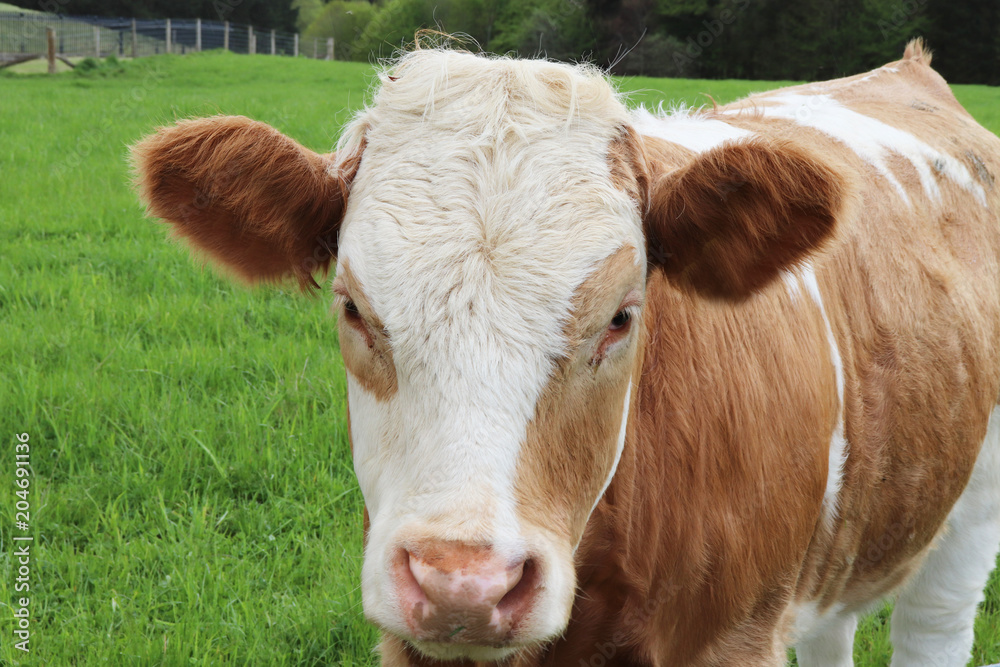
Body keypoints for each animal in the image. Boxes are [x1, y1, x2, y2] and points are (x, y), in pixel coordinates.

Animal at [133, 39, 1000, 664]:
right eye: (353, 306)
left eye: (620, 317)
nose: (466, 584)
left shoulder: (734, 633)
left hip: (970, 515)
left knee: (934, 623)